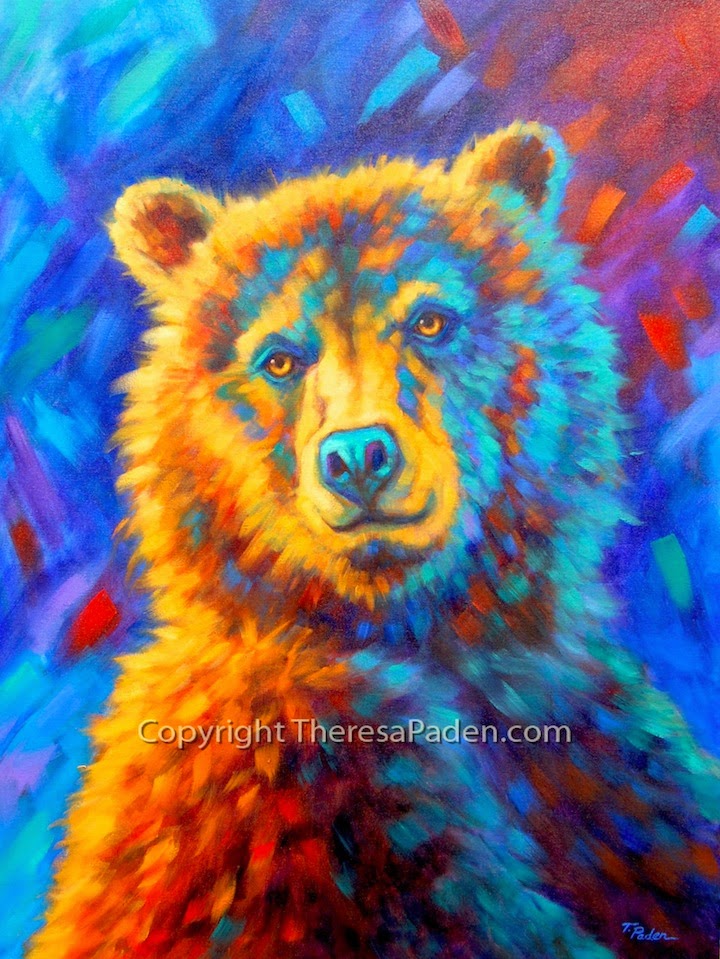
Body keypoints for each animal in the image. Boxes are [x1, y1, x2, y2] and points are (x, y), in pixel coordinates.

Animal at [29, 123, 718, 959]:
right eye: (279, 357)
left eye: (430, 320)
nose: (359, 455)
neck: (415, 632)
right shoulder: (296, 804)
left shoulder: (599, 753)